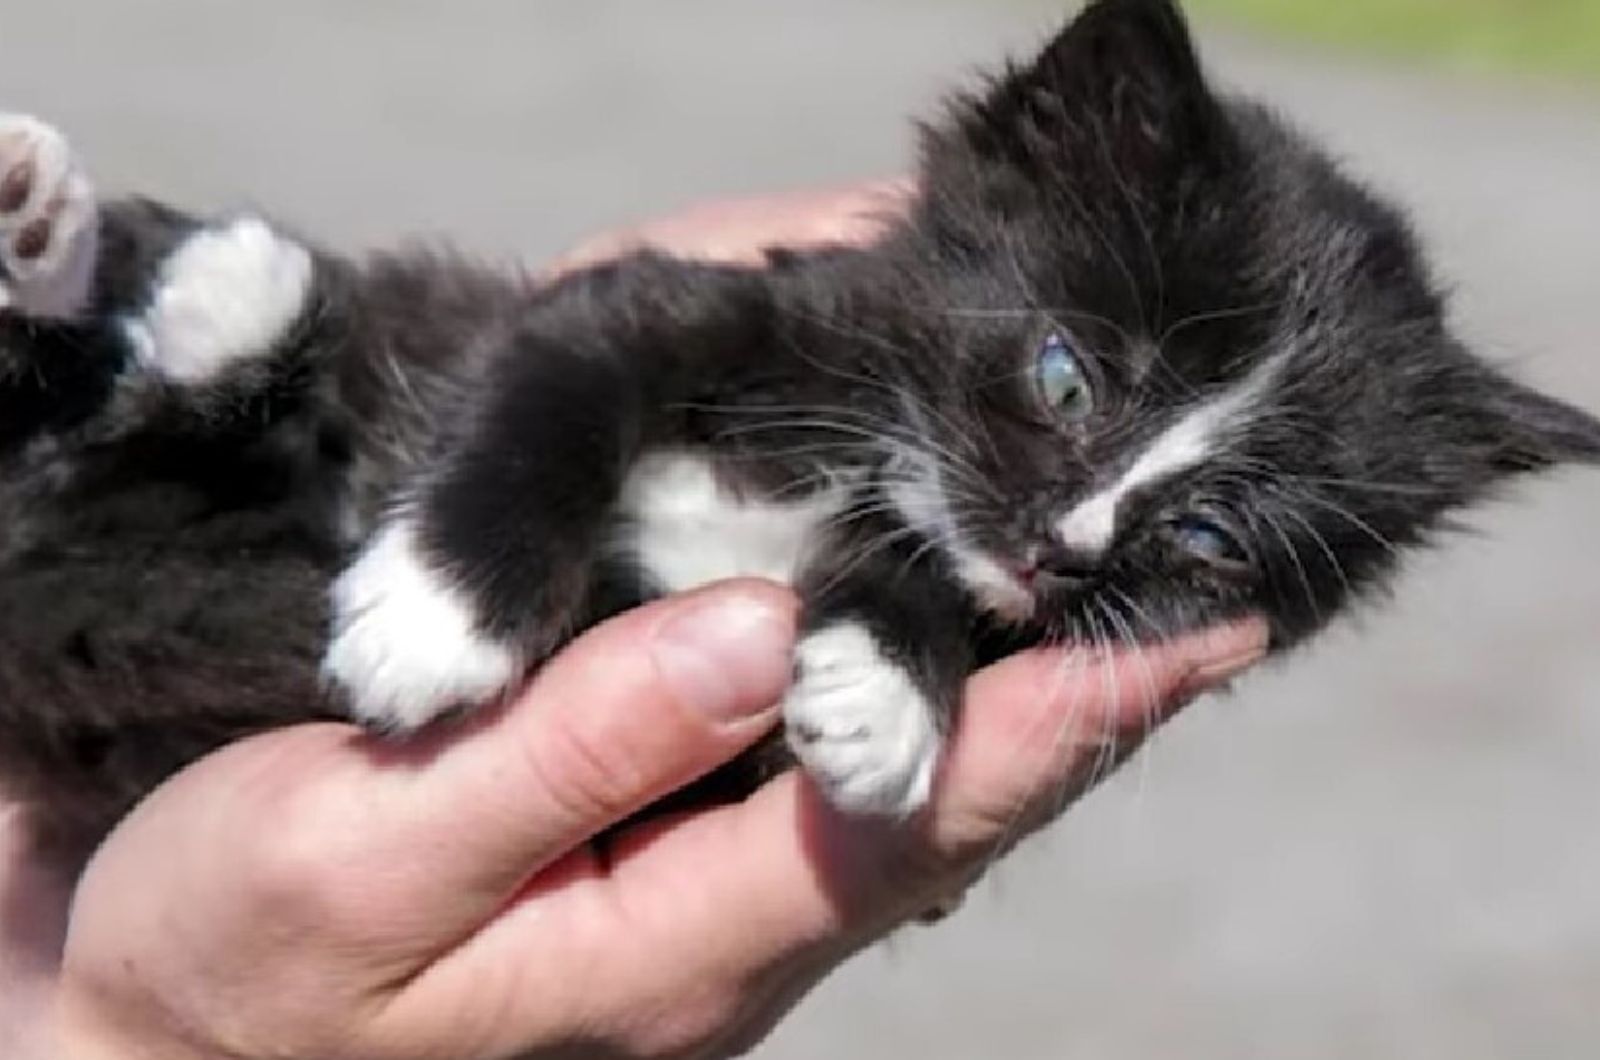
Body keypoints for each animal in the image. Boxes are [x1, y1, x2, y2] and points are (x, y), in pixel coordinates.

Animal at [3, 0, 1600, 851]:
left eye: (1208, 535)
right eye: (1065, 374)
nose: (1064, 552)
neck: (867, 445)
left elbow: (921, 581)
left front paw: (886, 688)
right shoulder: (674, 300)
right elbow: (552, 394)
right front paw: (445, 616)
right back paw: (96, 244)